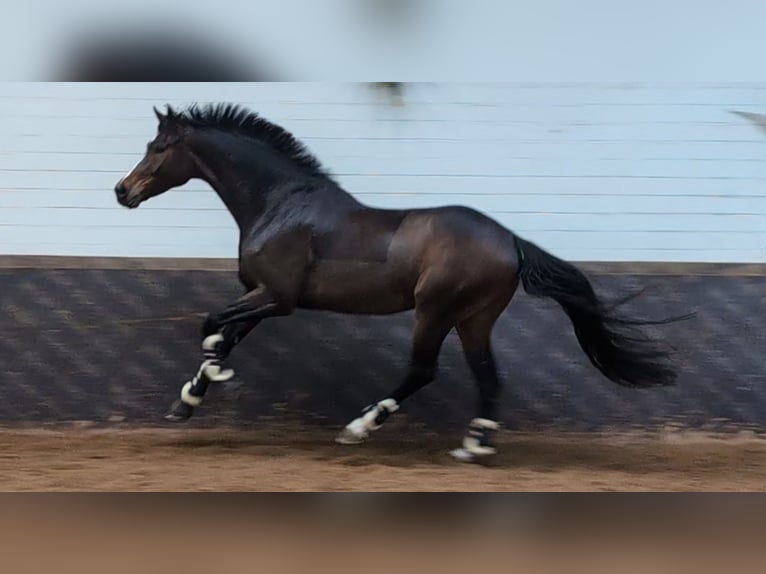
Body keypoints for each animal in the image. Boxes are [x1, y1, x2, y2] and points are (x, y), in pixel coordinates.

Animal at [117, 104, 688, 464]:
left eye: (158, 146)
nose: (123, 191)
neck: (281, 204)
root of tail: (510, 241)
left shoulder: (277, 298)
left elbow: (212, 324)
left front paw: (210, 374)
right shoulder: (261, 297)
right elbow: (226, 333)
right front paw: (188, 401)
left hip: (435, 312)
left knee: (423, 370)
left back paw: (359, 428)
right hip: (474, 319)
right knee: (488, 377)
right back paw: (474, 446)